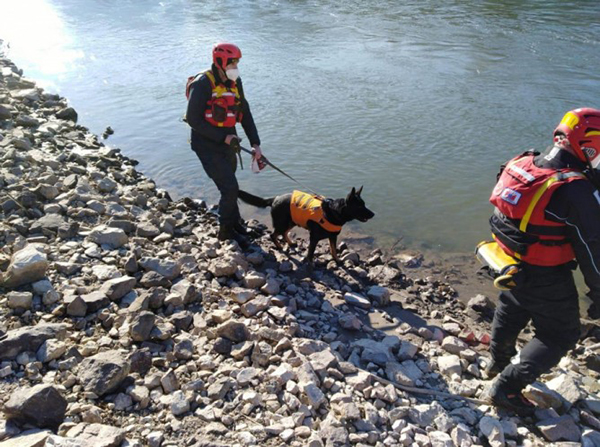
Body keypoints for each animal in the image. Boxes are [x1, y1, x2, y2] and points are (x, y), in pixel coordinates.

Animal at [238, 187, 375, 264]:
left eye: (364, 204)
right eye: (359, 206)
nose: (373, 214)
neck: (334, 212)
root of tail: (275, 198)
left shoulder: (333, 237)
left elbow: (333, 250)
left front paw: (337, 260)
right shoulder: (314, 238)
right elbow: (310, 253)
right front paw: (310, 263)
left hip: (291, 221)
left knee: (283, 233)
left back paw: (290, 243)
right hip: (282, 223)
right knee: (273, 234)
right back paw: (280, 246)